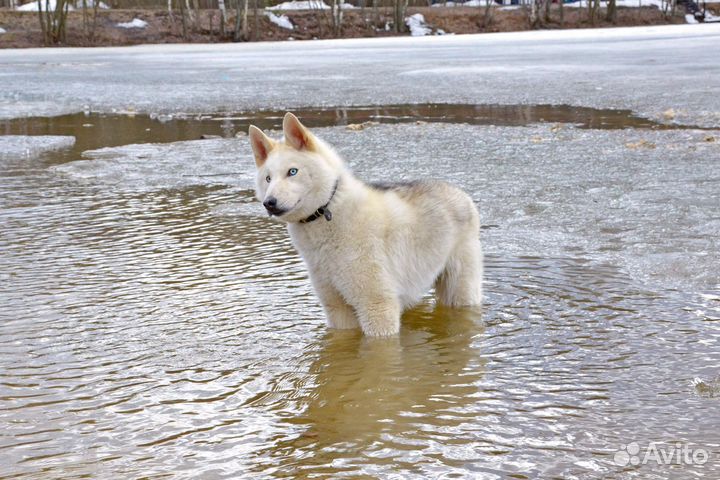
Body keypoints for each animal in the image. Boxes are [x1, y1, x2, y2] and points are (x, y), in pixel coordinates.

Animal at [249, 114, 484, 336]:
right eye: (268, 179)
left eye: (292, 171)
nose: (269, 203)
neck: (328, 211)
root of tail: (461, 193)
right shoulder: (337, 309)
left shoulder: (377, 307)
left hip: (460, 292)